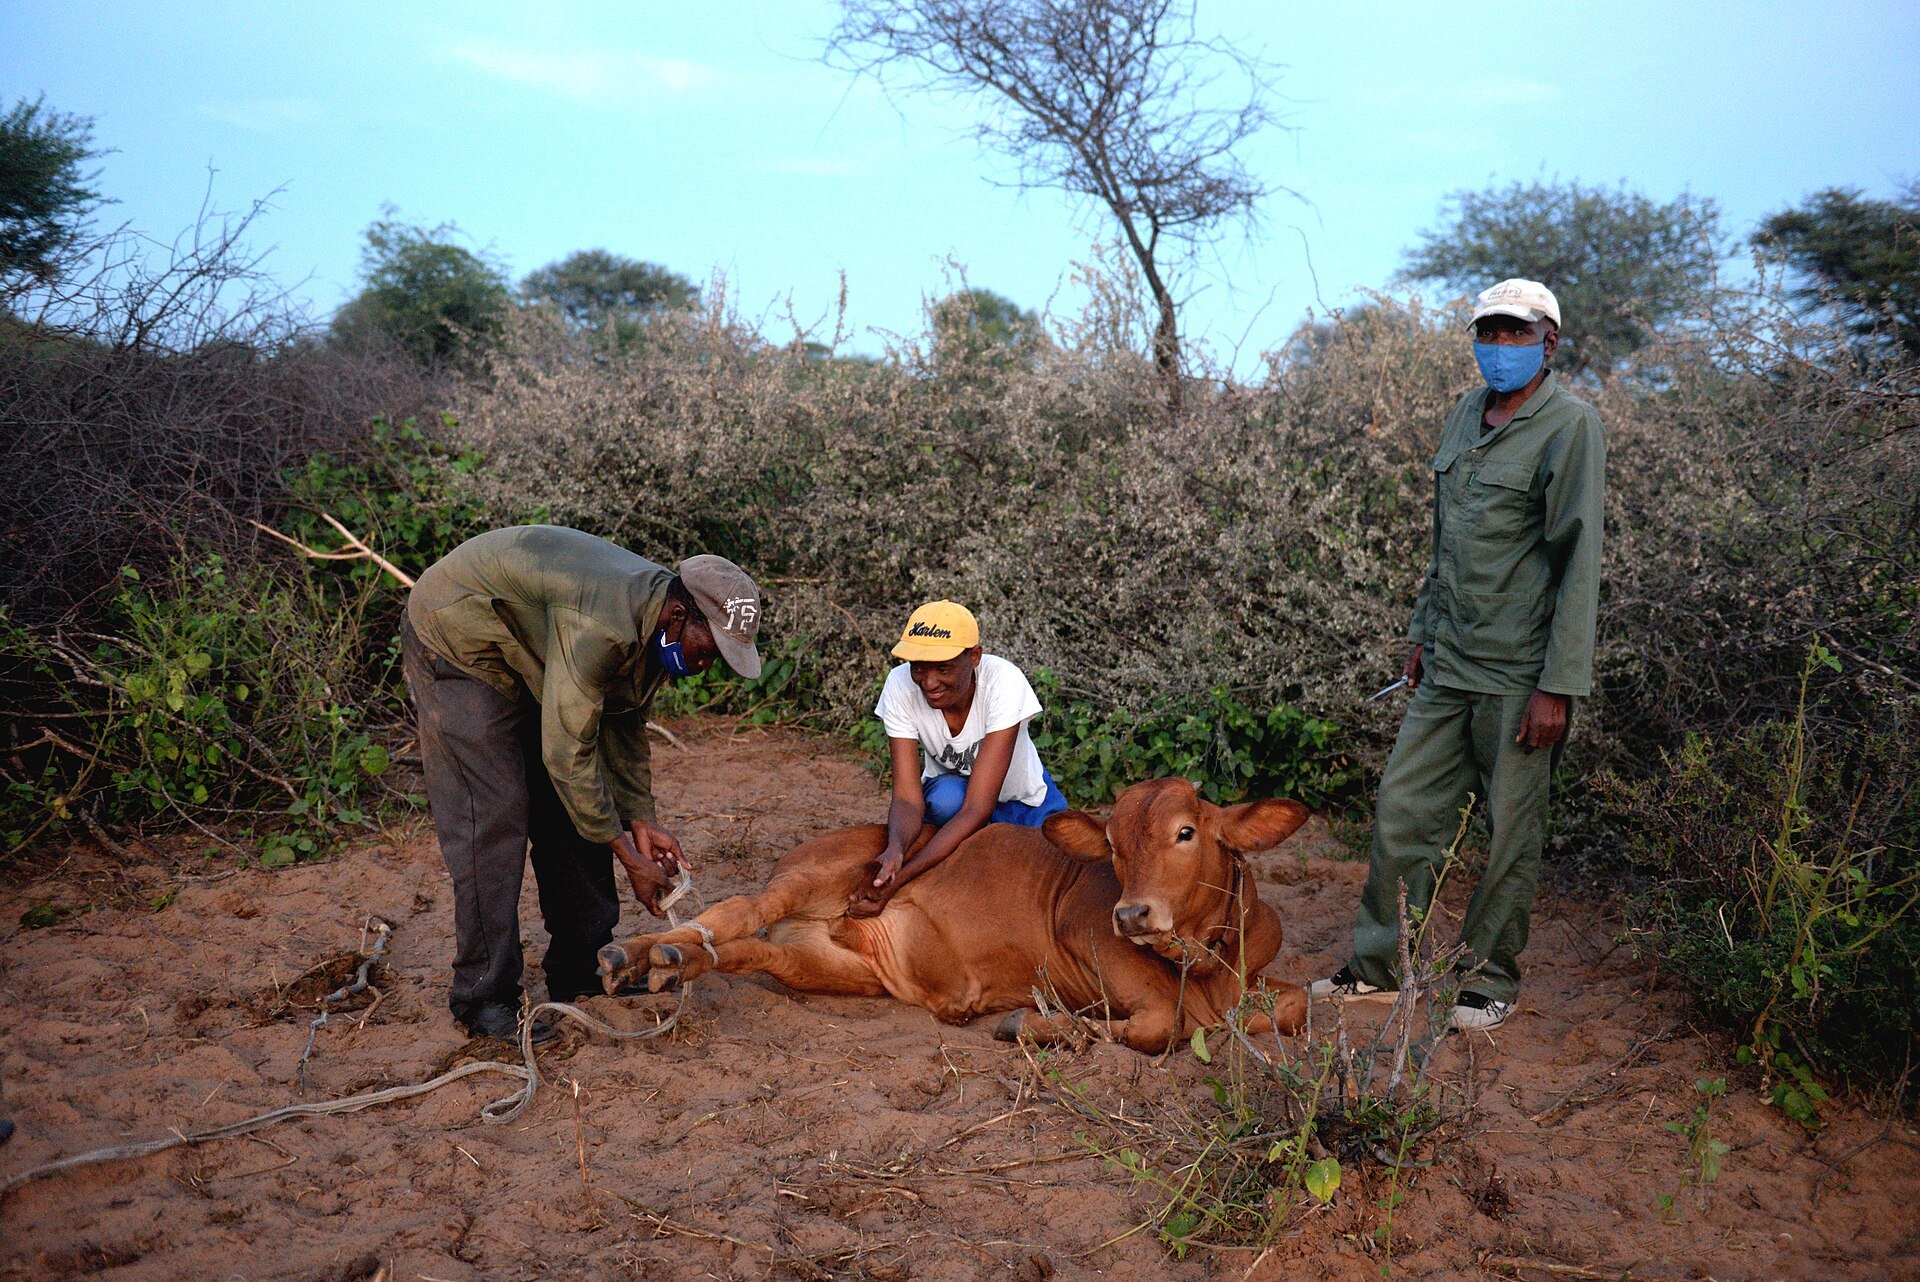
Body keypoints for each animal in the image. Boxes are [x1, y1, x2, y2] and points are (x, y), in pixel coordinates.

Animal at [597, 778, 1312, 1053]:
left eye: (1186, 832)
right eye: (1112, 845)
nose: (1132, 913)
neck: (1207, 964)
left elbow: (1297, 1002)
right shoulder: (1101, 951)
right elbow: (1159, 1025)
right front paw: (1039, 1024)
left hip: (840, 969)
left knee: (751, 950)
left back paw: (663, 963)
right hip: (816, 875)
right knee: (741, 909)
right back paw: (640, 953)